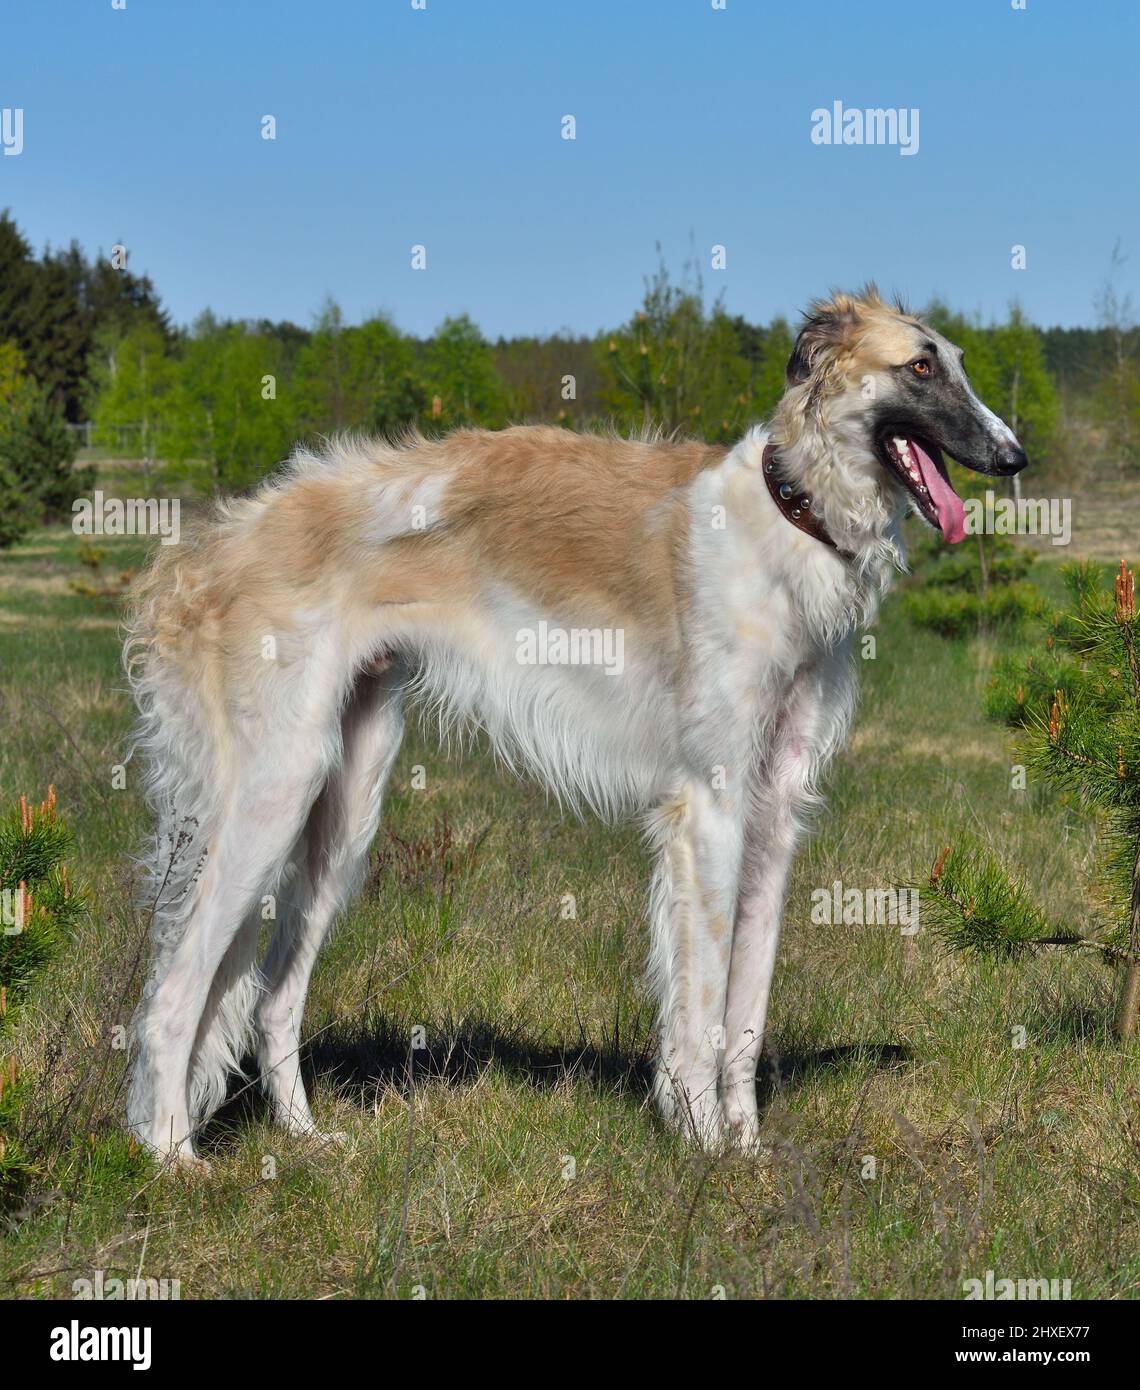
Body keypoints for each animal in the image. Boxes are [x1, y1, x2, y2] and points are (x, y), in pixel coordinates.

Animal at [127, 284, 1034, 1162]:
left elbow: (745, 1008)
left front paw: (747, 1147)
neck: (790, 515)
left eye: (957, 363)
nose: (1014, 456)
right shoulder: (710, 806)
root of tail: (216, 545)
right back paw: (171, 1156)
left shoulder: (776, 809)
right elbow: (703, 1007)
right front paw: (703, 1145)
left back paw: (306, 1138)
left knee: (274, 997)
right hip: (273, 791)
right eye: (921, 367)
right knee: (175, 990)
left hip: (344, 803)